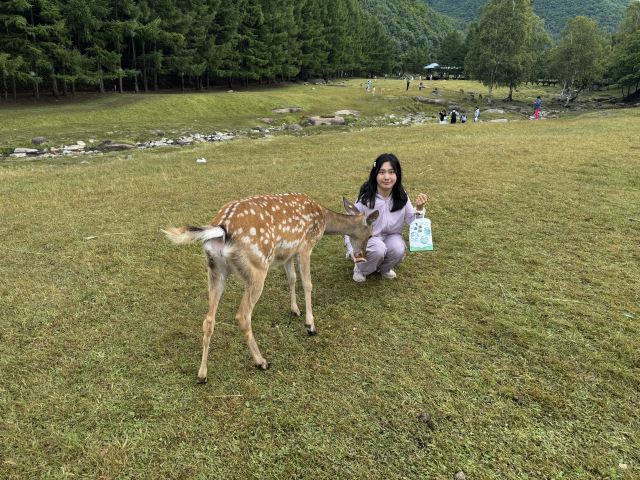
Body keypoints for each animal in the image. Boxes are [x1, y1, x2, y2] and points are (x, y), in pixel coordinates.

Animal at [163, 193, 379, 383]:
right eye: (370, 234)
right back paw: (262, 362)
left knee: (208, 319)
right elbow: (307, 284)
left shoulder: (288, 253)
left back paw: (202, 374)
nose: (362, 255)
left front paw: (295, 310)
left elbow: (292, 279)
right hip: (258, 266)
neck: (323, 220)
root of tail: (221, 228)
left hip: (215, 269)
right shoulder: (305, 245)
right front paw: (310, 325)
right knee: (242, 315)